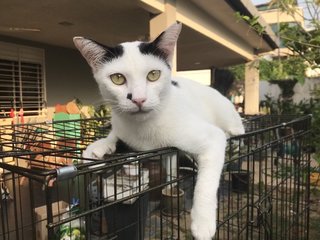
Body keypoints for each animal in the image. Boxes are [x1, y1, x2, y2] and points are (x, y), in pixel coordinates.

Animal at [74, 22, 244, 240]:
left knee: (236, 132)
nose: (138, 99)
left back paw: (235, 138)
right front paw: (98, 147)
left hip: (226, 115)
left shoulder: (212, 137)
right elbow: (115, 135)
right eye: (117, 78)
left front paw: (203, 223)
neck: (144, 128)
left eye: (153, 75)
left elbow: (206, 183)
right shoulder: (122, 126)